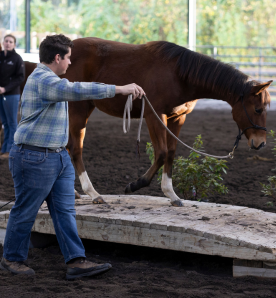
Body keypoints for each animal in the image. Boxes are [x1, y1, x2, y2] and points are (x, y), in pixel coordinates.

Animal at [22, 38, 272, 207]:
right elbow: (160, 153)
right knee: (75, 149)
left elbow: (171, 153)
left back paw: (75, 193)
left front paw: (172, 194)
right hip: (78, 109)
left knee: (66, 147)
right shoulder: (155, 116)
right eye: (257, 109)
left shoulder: (177, 118)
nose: (260, 143)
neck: (179, 74)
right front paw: (136, 184)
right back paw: (93, 193)